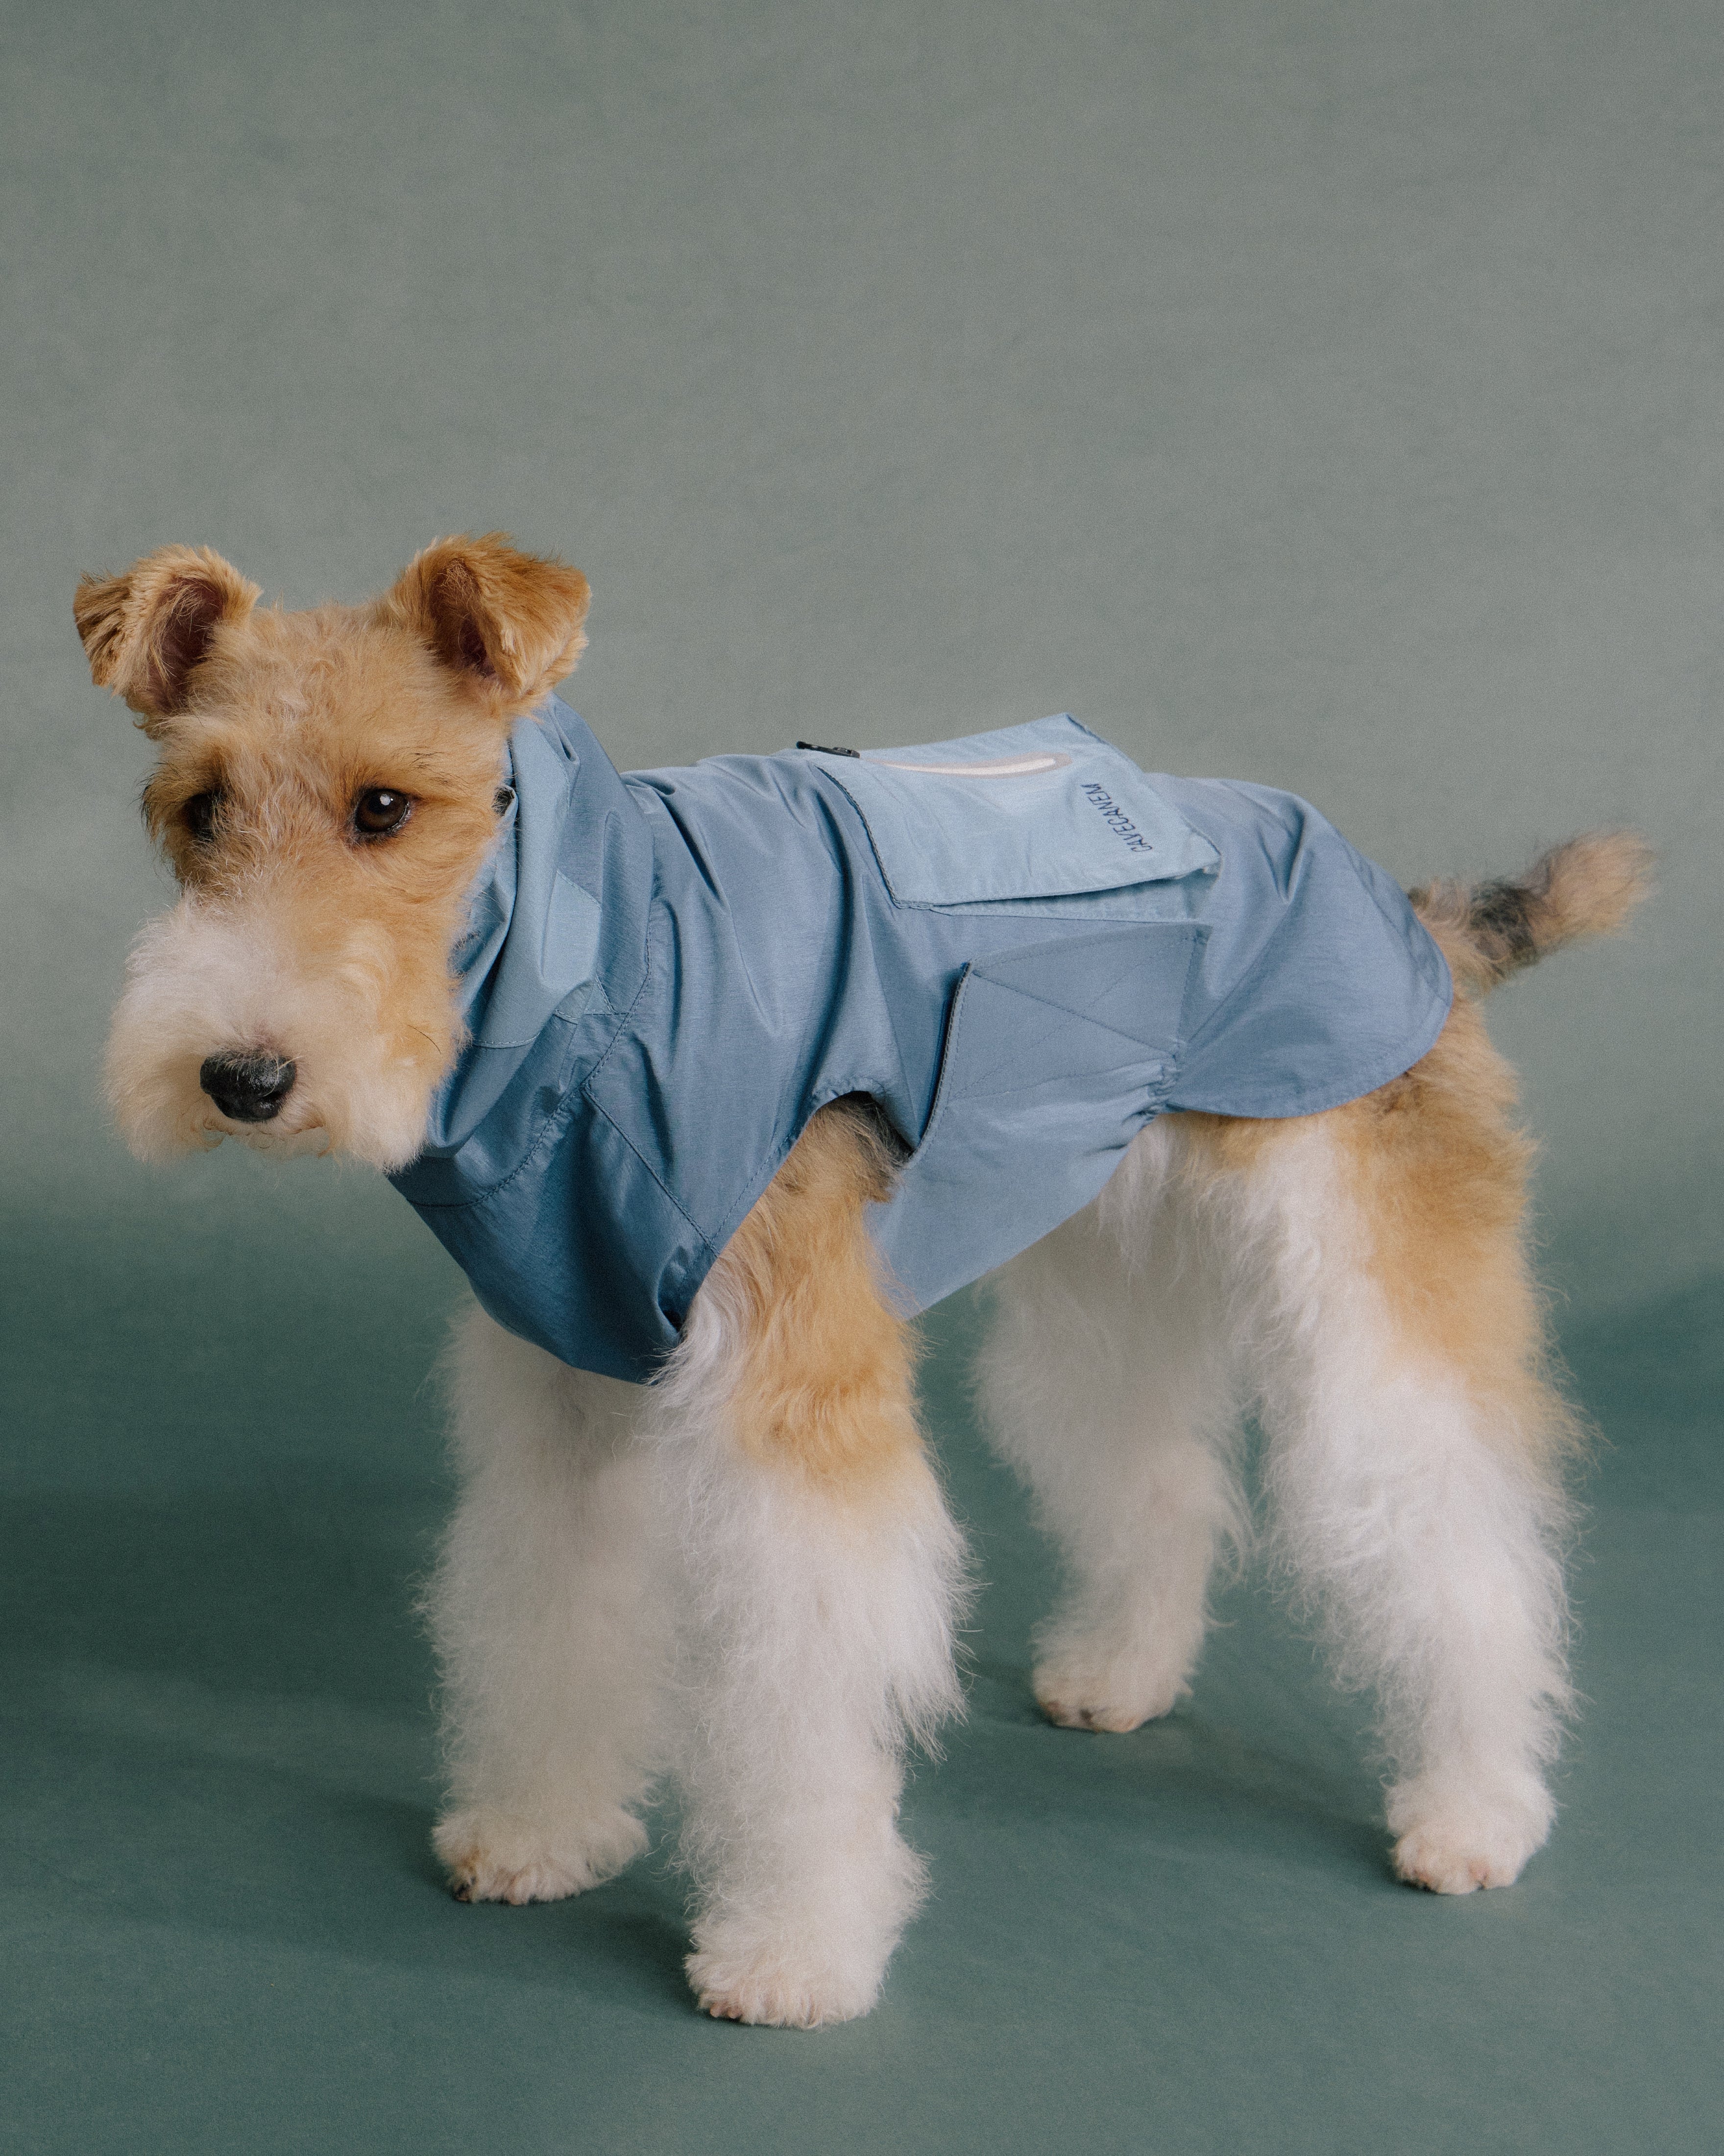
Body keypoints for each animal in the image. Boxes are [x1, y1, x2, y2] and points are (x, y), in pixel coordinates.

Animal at [84, 535, 1655, 2018]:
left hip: (1372, 1298)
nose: (241, 1078)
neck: (602, 975)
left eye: (384, 809)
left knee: (1454, 1535)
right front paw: (540, 1832)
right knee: (1154, 1474)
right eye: (201, 808)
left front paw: (791, 1951)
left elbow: (799, 1700)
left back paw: (1474, 1810)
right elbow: (547, 1609)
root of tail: (1409, 910)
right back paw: (1121, 1674)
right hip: (1105, 1274)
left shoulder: (792, 1406)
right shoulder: (568, 1377)